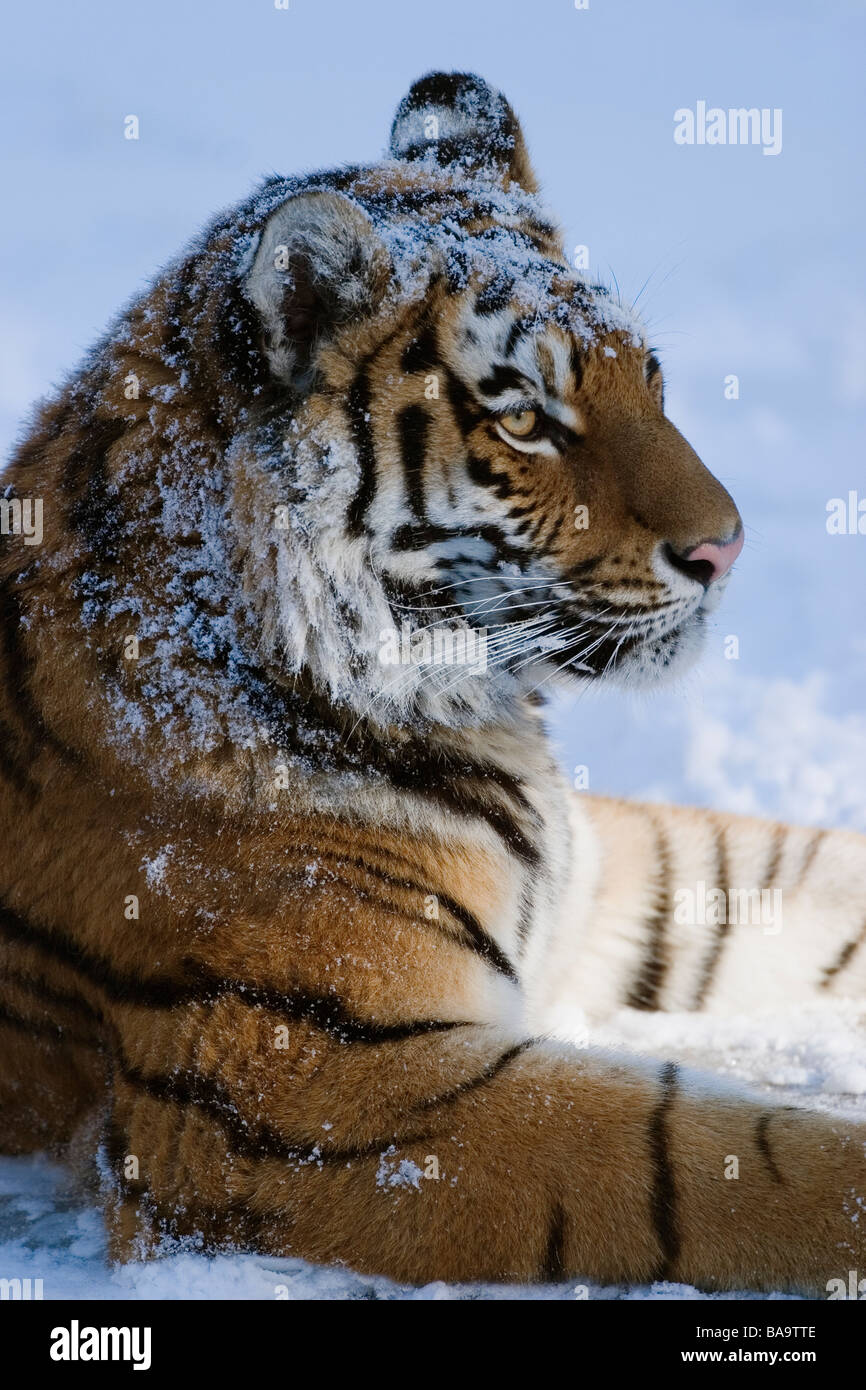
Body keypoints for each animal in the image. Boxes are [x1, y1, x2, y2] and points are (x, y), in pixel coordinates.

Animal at [0, 73, 861, 1289]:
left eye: (649, 376)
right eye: (524, 418)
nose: (725, 549)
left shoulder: (598, 884)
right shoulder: (311, 1085)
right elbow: (720, 1156)